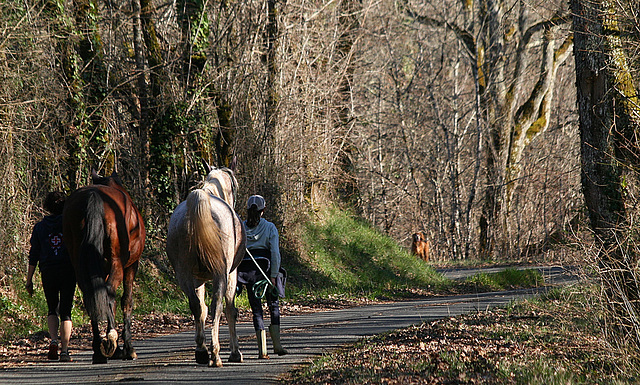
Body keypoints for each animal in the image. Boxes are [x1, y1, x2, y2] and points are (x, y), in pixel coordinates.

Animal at [62, 171, 145, 364]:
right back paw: (110, 341)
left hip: (80, 263)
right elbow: (126, 301)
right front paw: (127, 348)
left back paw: (99, 350)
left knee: (91, 296)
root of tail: (93, 196)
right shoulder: (132, 266)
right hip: (117, 263)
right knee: (109, 293)